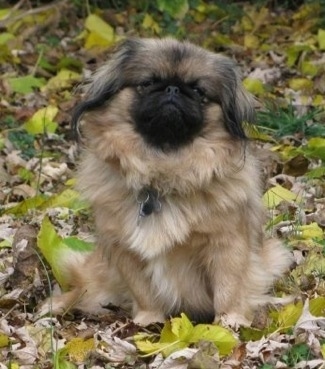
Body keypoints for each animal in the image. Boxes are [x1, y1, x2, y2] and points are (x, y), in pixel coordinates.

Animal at [43, 37, 292, 324]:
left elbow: (228, 288)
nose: (172, 89)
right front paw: (150, 319)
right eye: (148, 83)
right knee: (85, 286)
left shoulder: (227, 245)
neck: (162, 172)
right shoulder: (123, 249)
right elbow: (142, 290)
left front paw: (228, 322)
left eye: (197, 90)